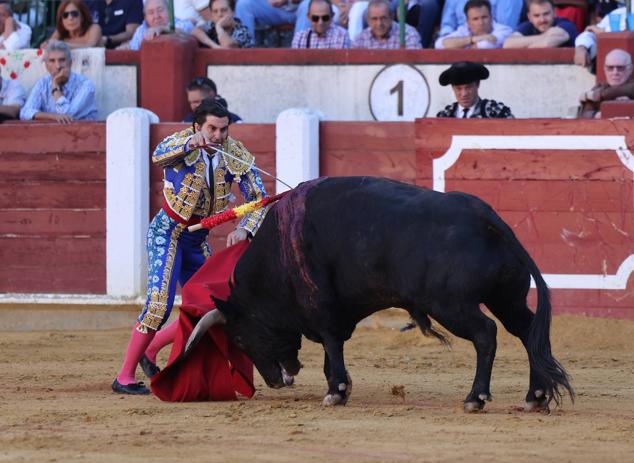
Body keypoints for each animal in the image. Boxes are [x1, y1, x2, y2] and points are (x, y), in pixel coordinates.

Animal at [193, 176, 572, 412]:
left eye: (239, 338)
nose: (275, 382)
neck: (280, 252)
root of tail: (486, 216)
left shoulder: (323, 308)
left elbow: (332, 342)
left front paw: (335, 392)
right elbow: (333, 350)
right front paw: (340, 387)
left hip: (451, 305)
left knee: (486, 334)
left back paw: (475, 398)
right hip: (507, 299)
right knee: (529, 332)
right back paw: (535, 396)